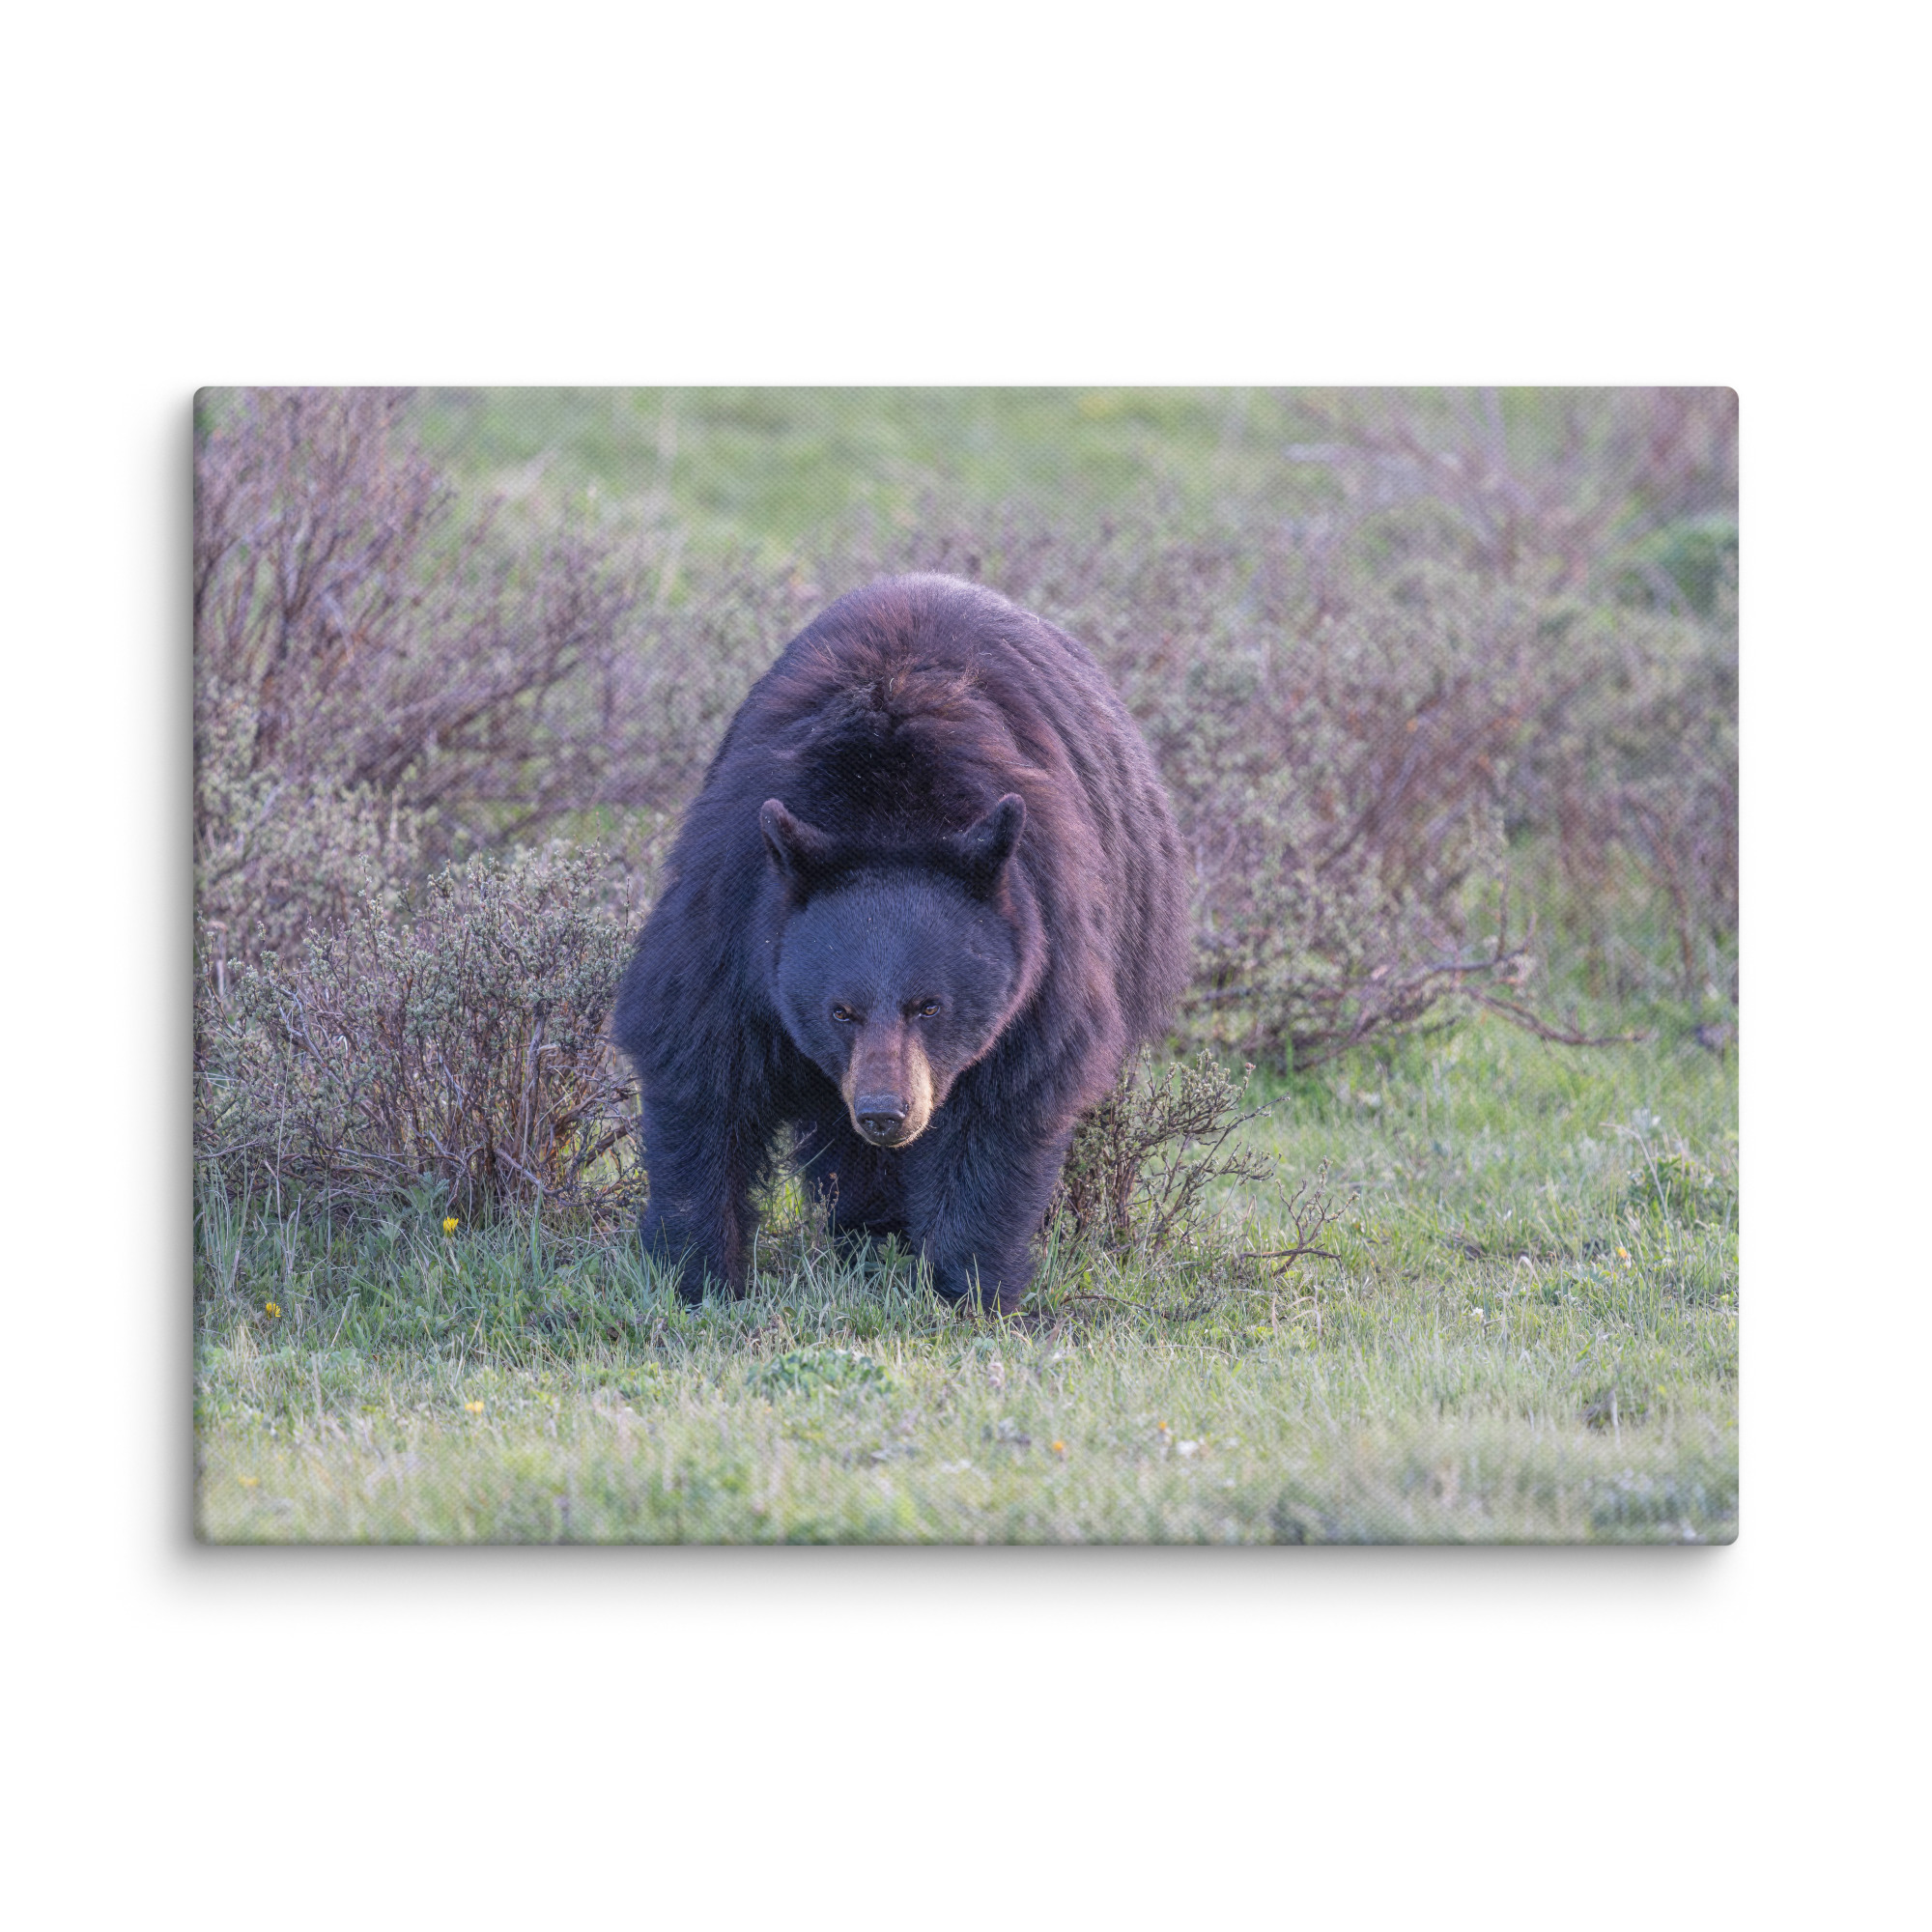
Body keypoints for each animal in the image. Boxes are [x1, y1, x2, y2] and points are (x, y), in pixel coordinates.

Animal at [611, 572, 1190, 1314]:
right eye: (840, 1011)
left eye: (930, 1005)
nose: (886, 1114)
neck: (887, 809)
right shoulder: (735, 912)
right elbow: (700, 1067)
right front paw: (699, 1274)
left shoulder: (1045, 938)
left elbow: (1005, 1104)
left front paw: (970, 1287)